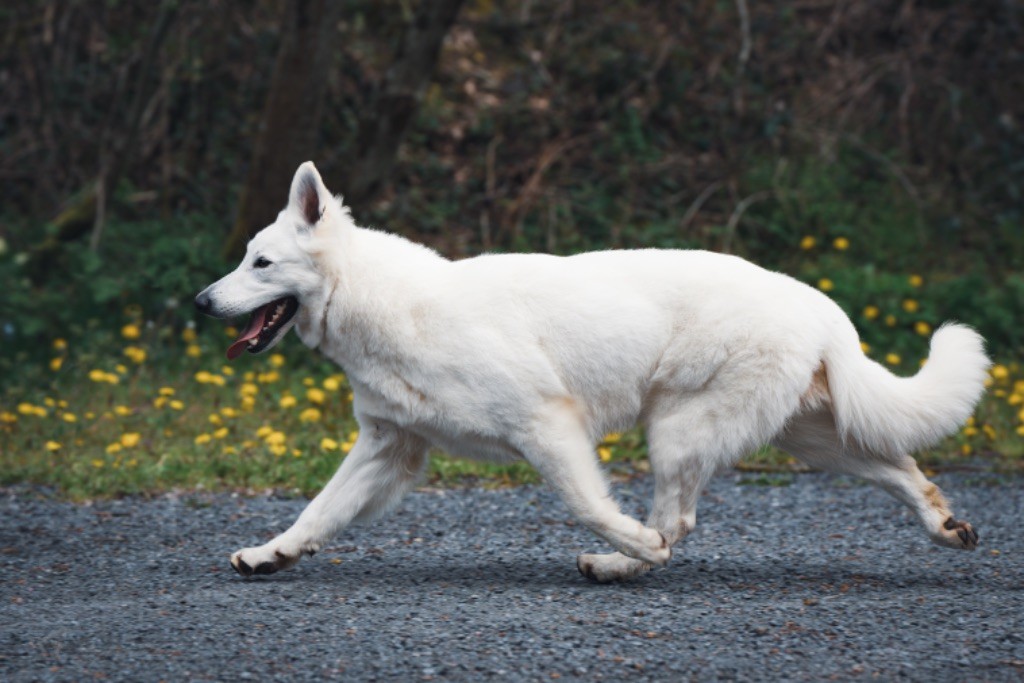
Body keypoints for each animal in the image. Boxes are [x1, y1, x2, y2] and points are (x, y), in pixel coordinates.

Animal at [195, 160, 987, 581]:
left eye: (260, 263)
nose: (203, 301)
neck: (384, 302)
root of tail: (817, 303)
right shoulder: (388, 449)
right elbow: (317, 510)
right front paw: (270, 553)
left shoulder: (547, 425)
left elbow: (587, 503)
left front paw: (629, 541)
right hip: (808, 435)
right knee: (901, 466)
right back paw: (944, 523)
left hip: (681, 430)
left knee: (679, 519)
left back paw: (625, 562)